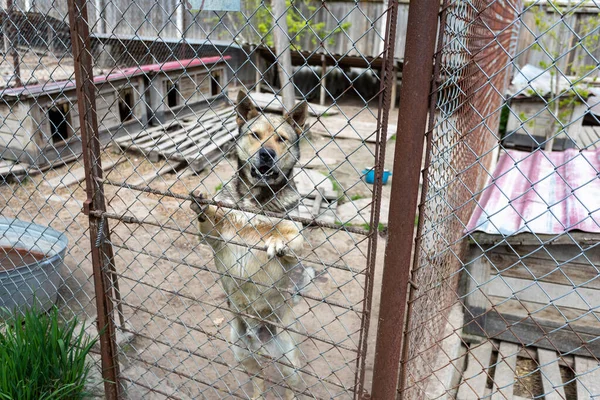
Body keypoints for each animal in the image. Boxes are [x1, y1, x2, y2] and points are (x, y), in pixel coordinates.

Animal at [191, 90, 314, 400]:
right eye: (255, 135)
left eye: (281, 139)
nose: (266, 154)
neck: (255, 200)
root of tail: (259, 337)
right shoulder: (215, 239)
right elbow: (211, 224)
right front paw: (204, 207)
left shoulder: (296, 239)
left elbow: (290, 236)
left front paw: (277, 239)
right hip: (241, 350)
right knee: (258, 378)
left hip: (289, 361)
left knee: (291, 386)